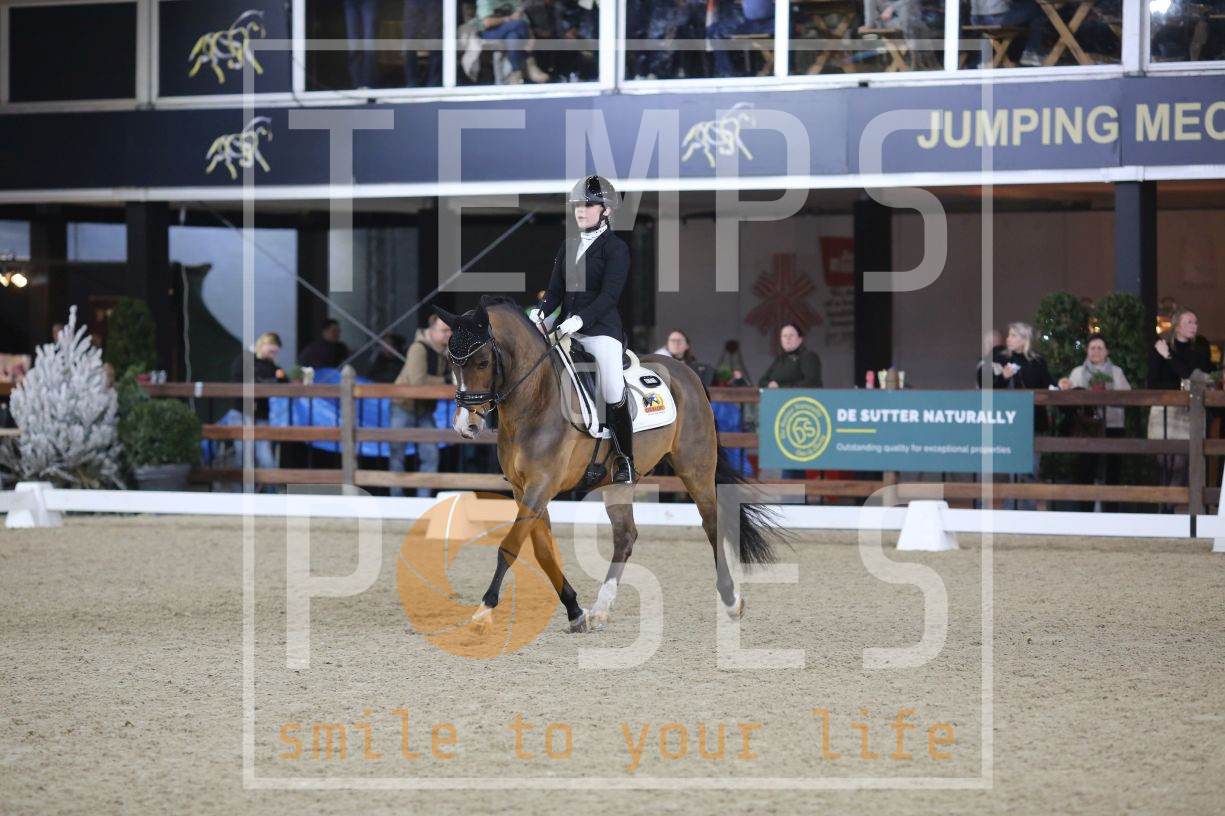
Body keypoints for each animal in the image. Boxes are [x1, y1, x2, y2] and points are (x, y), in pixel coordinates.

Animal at [434, 296, 783, 633]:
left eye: (483, 362)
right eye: (451, 362)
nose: (466, 426)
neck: (535, 398)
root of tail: (688, 373)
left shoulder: (541, 485)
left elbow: (510, 546)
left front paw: (483, 613)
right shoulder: (524, 490)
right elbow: (544, 552)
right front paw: (576, 612)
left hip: (695, 466)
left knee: (712, 524)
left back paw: (731, 600)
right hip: (619, 482)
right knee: (625, 536)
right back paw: (601, 608)